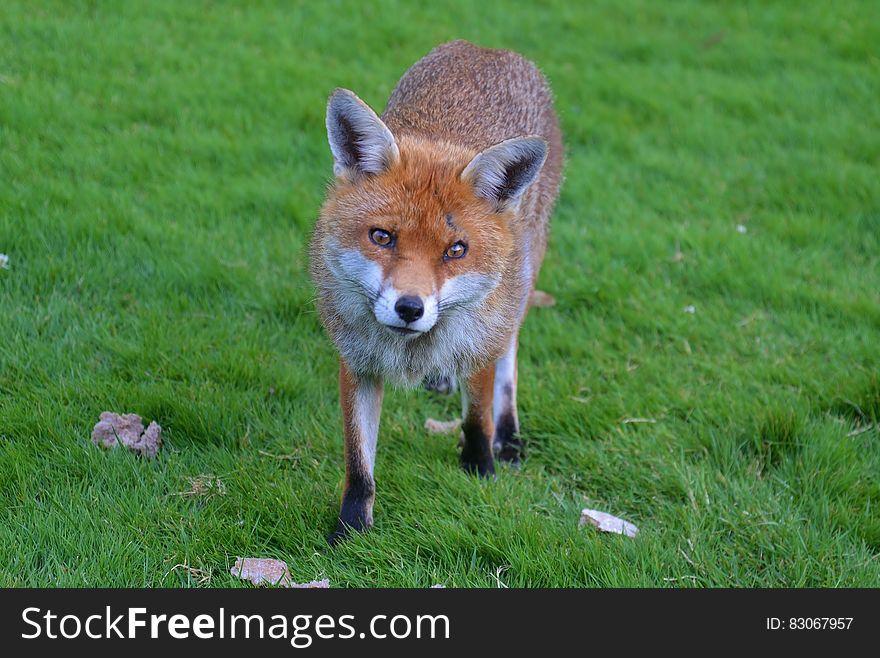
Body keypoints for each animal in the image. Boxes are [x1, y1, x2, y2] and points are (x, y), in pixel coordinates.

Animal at [310, 42, 564, 544]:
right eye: (382, 237)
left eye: (456, 250)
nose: (410, 308)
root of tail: (487, 48)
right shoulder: (356, 362)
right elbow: (359, 465)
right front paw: (350, 531)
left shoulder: (480, 340)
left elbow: (477, 417)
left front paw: (480, 470)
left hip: (521, 281)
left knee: (509, 355)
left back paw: (509, 436)